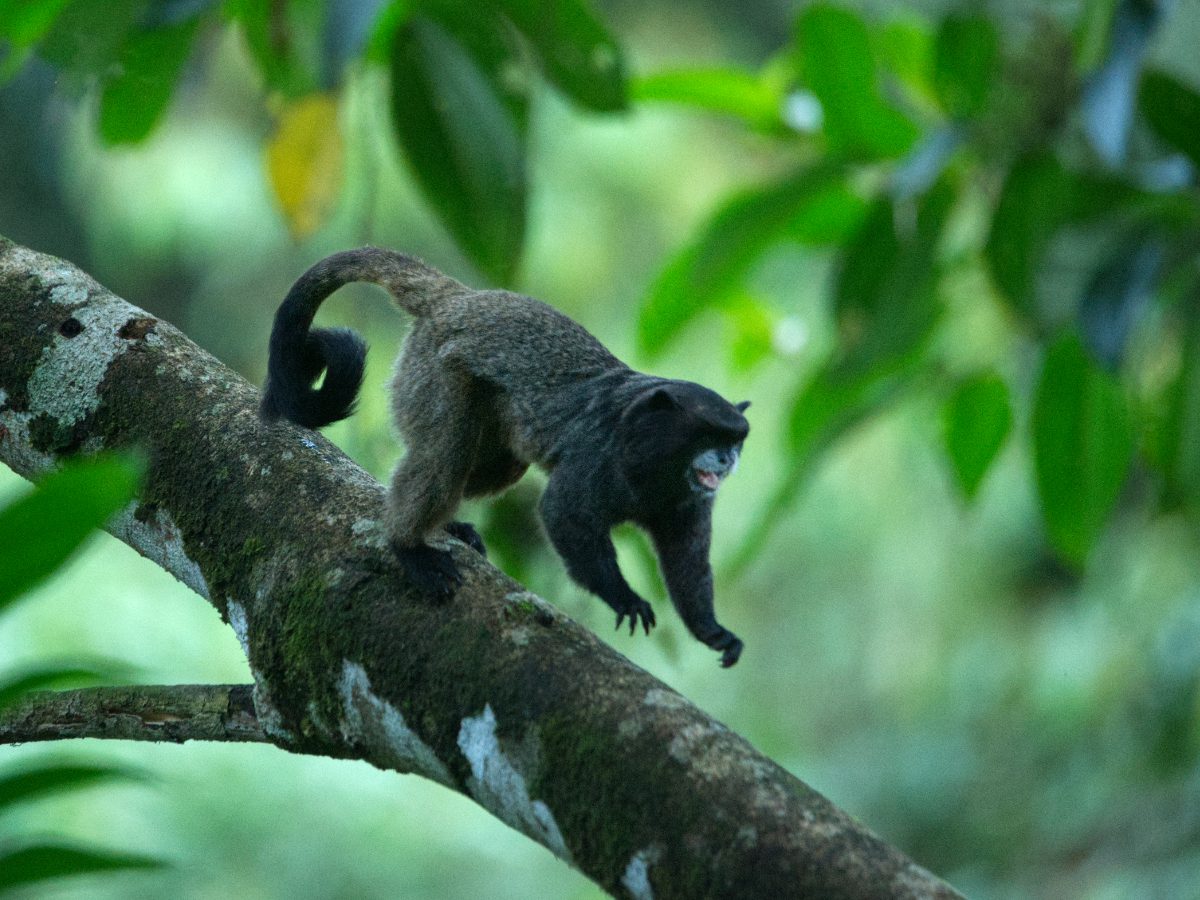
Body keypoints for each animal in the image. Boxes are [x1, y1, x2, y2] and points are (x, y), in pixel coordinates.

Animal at [260, 248, 750, 667]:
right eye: (709, 435)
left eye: (736, 439)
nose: (727, 459)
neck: (653, 464)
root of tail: (460, 299)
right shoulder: (598, 456)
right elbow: (563, 515)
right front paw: (622, 595)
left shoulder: (686, 500)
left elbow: (685, 558)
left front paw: (710, 629)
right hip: (435, 368)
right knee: (444, 454)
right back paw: (406, 543)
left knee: (493, 468)